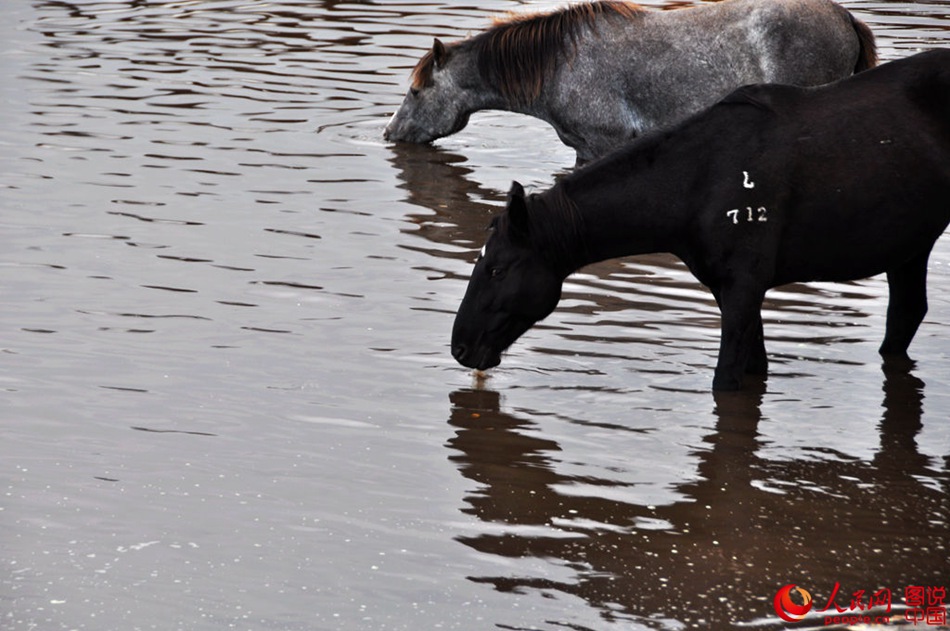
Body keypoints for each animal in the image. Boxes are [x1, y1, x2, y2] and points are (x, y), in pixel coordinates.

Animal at [450, 50, 950, 390]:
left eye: (497, 269)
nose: (460, 347)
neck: (690, 193)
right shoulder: (730, 288)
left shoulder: (745, 285)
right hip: (909, 247)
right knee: (905, 318)